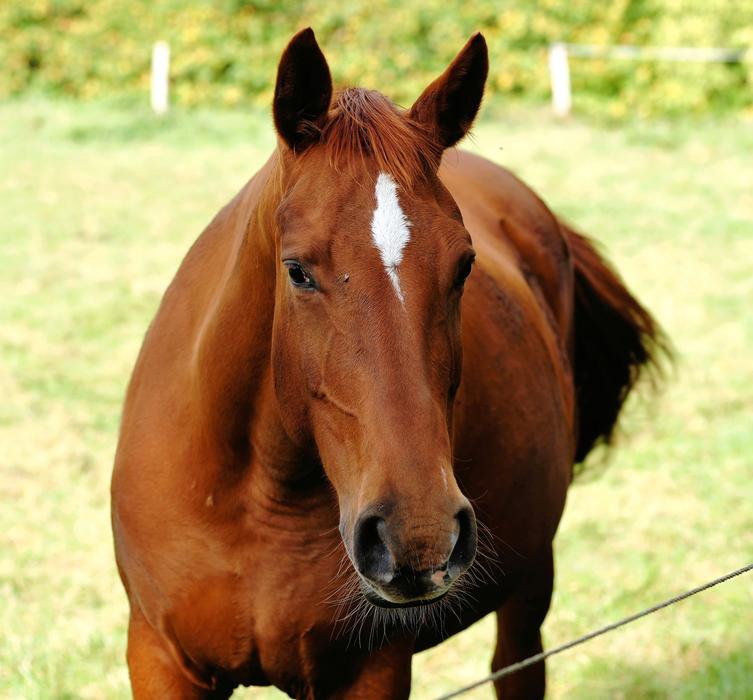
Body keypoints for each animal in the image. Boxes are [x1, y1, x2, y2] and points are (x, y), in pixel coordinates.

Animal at [111, 28, 663, 699]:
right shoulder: (160, 659)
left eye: (465, 266)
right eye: (297, 271)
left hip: (531, 580)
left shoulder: (372, 670)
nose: (418, 534)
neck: (256, 501)